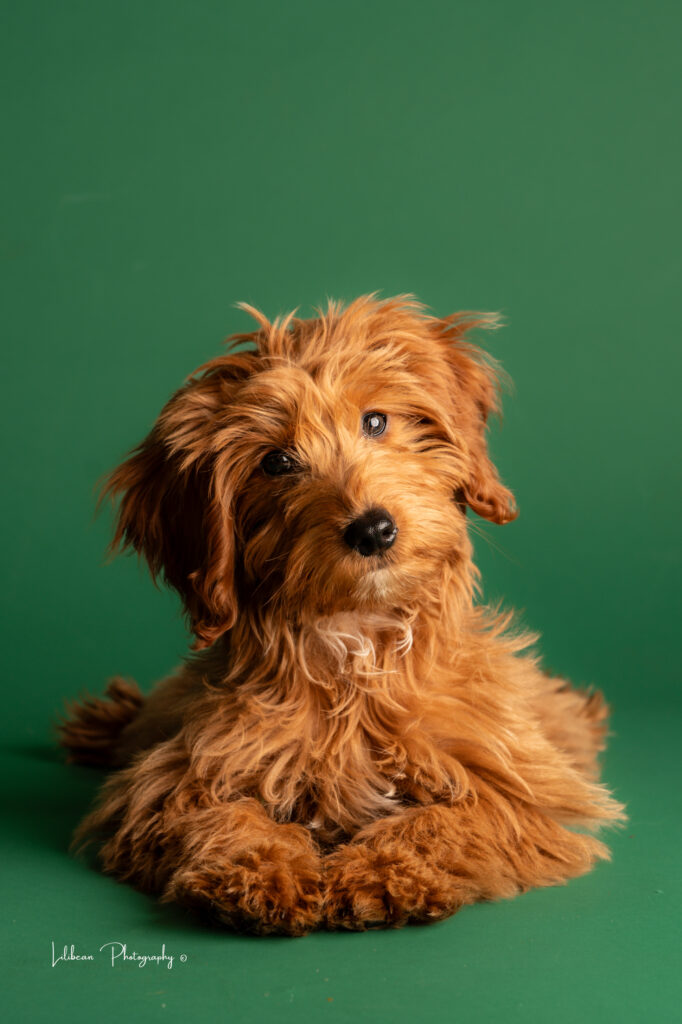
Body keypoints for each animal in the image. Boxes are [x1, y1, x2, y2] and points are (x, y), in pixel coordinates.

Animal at [61, 292, 622, 933]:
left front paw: (382, 872)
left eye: (375, 422)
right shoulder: (176, 780)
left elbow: (456, 817)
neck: (358, 646)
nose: (373, 529)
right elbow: (216, 814)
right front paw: (262, 870)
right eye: (277, 462)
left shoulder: (520, 786)